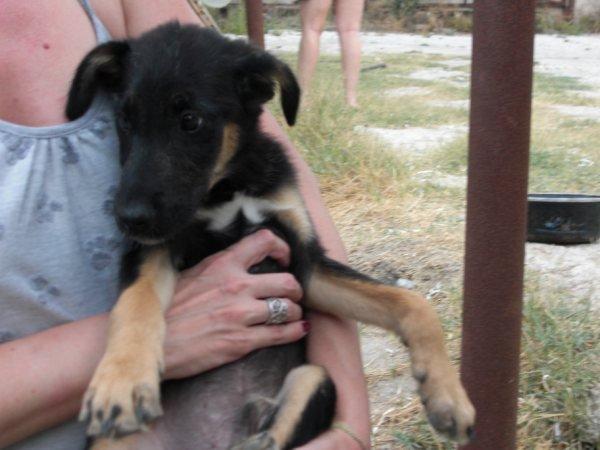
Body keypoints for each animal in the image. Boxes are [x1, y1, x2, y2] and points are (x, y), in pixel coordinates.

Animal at [67, 22, 474, 450]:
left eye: (191, 121)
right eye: (125, 120)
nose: (129, 220)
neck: (228, 187)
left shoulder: (305, 265)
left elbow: (411, 302)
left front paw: (447, 396)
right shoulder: (153, 249)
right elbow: (137, 301)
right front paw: (122, 380)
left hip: (315, 377)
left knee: (278, 429)